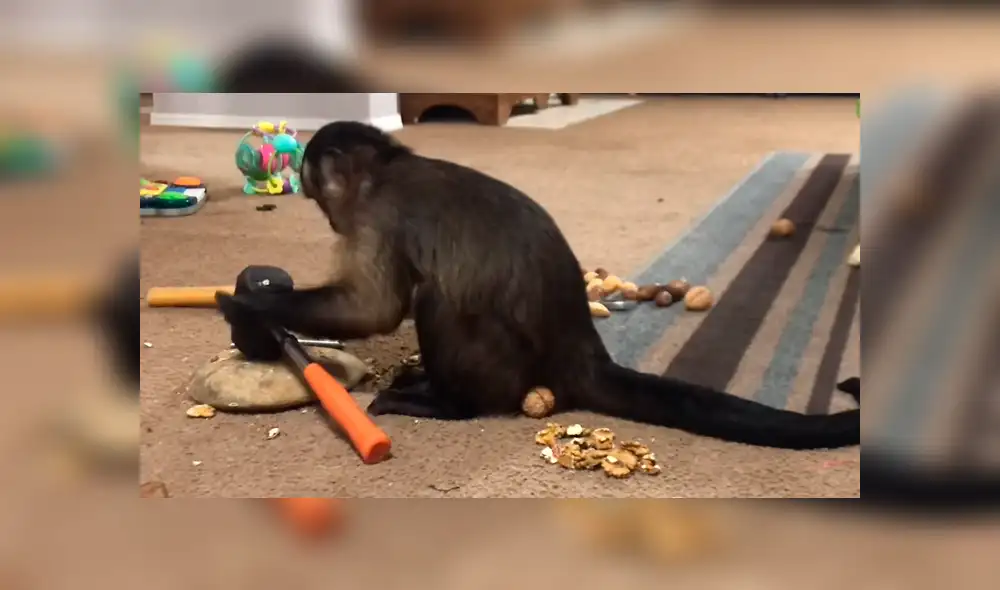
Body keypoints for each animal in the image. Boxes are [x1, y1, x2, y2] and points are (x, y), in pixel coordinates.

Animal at [215, 121, 860, 450]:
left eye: (319, 194)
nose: (326, 216)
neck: (386, 171)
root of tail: (581, 351)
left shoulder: (377, 217)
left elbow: (372, 309)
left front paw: (250, 305)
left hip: (505, 360)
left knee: (440, 300)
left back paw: (445, 402)